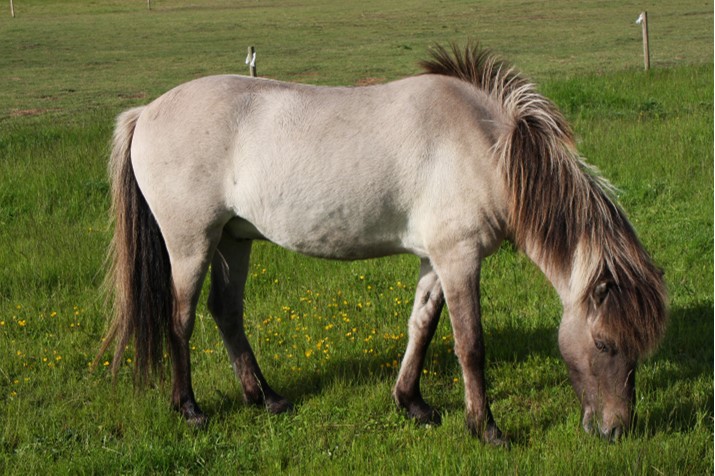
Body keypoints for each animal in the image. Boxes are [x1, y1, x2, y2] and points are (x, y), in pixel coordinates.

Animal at [98, 42, 668, 444]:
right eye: (605, 344)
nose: (614, 430)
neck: (486, 148)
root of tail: (145, 112)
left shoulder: (435, 259)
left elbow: (422, 326)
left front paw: (412, 403)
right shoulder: (459, 258)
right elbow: (470, 345)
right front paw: (486, 429)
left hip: (235, 240)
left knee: (226, 311)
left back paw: (266, 398)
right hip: (191, 243)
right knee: (181, 318)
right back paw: (189, 408)